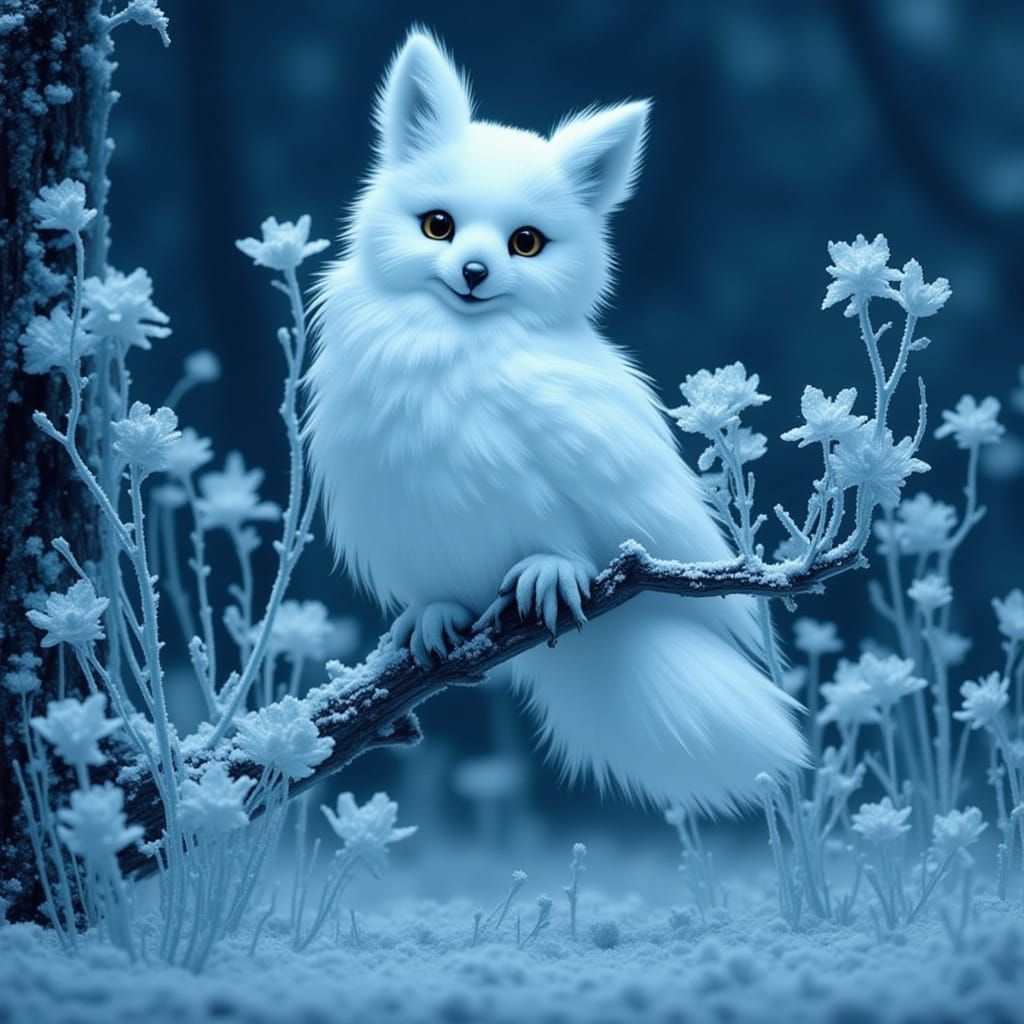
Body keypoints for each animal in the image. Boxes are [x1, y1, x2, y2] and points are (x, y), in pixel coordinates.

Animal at [304, 29, 806, 811]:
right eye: (438, 226)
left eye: (527, 244)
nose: (474, 272)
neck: (454, 338)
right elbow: (432, 593)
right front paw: (430, 618)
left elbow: (564, 542)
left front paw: (550, 571)